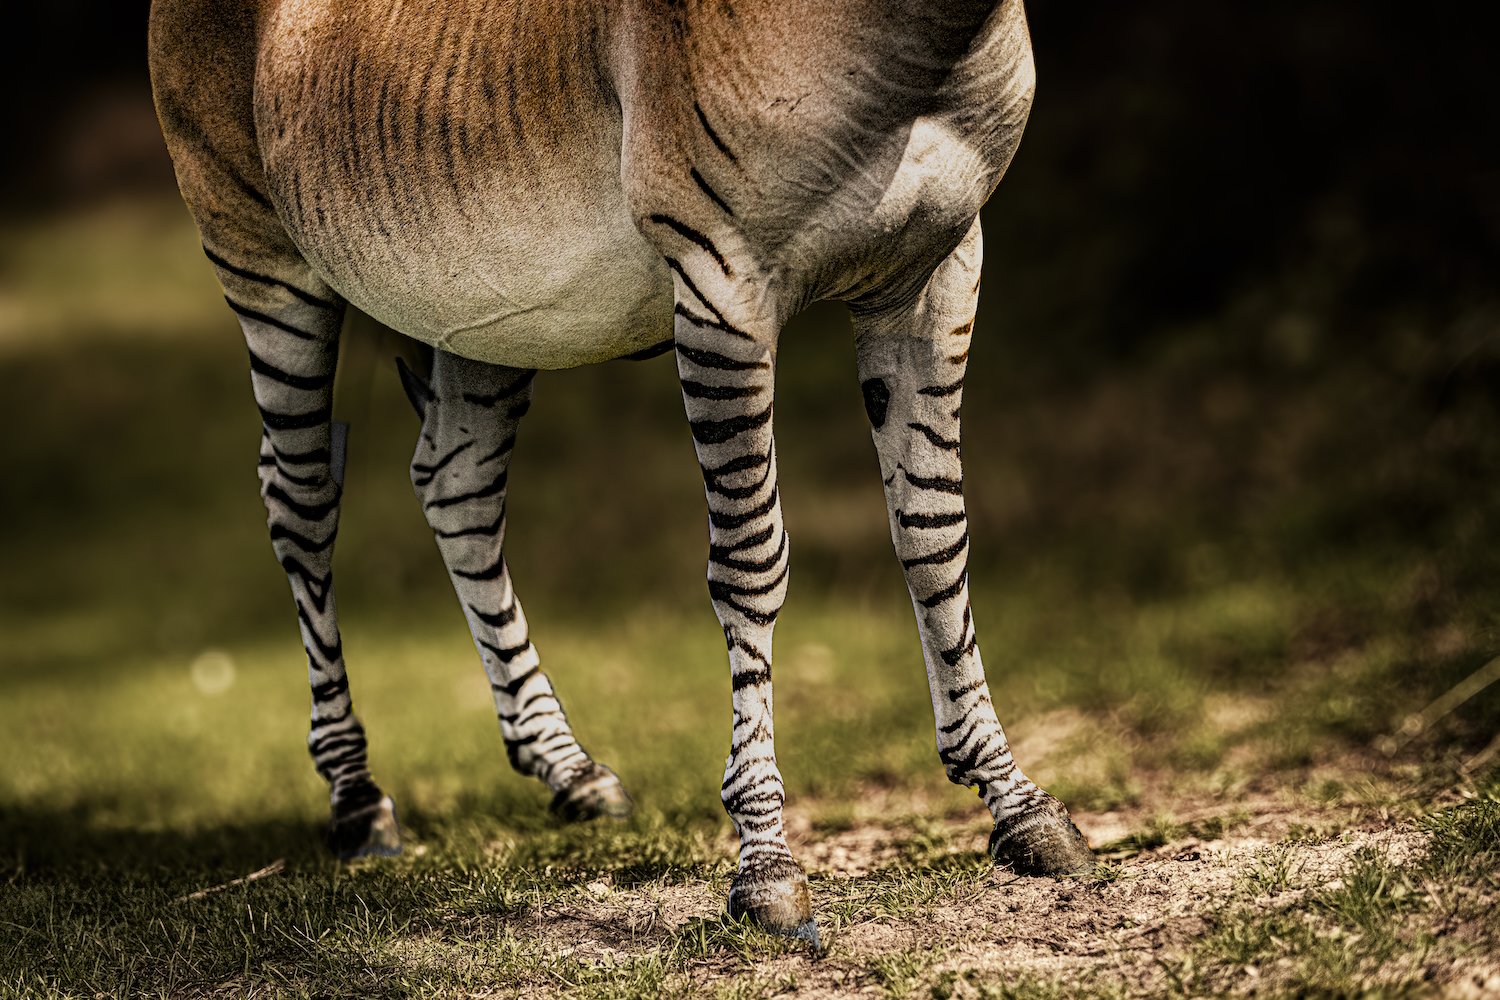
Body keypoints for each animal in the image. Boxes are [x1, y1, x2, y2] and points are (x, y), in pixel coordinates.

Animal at [148, 0, 1093, 944]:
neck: (928, 45)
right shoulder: (722, 287)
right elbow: (752, 564)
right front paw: (766, 864)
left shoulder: (938, 267)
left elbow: (935, 541)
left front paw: (1017, 803)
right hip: (260, 257)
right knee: (299, 498)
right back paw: (356, 796)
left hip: (482, 294)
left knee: (455, 485)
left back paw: (562, 763)